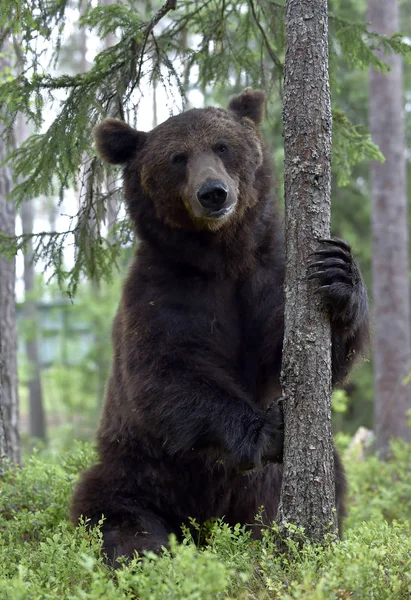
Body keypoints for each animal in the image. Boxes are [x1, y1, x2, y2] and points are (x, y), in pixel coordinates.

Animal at [71, 89, 370, 564]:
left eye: (222, 146)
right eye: (177, 157)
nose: (213, 193)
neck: (222, 257)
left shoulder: (268, 275)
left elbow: (297, 352)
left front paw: (338, 272)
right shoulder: (164, 291)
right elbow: (166, 372)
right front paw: (270, 427)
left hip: (266, 490)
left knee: (329, 487)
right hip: (139, 468)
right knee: (112, 513)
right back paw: (145, 553)